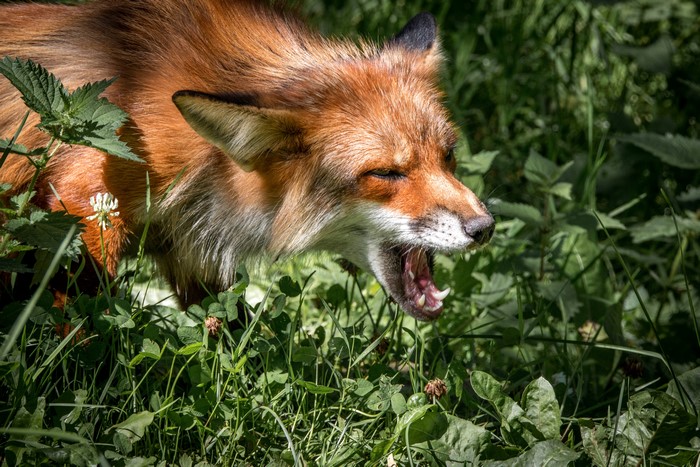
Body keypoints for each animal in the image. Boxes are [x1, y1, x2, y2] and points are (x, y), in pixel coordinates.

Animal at [0, 0, 494, 321]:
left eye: (448, 156)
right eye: (386, 173)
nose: (484, 228)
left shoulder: (191, 248)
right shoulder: (84, 207)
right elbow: (75, 325)